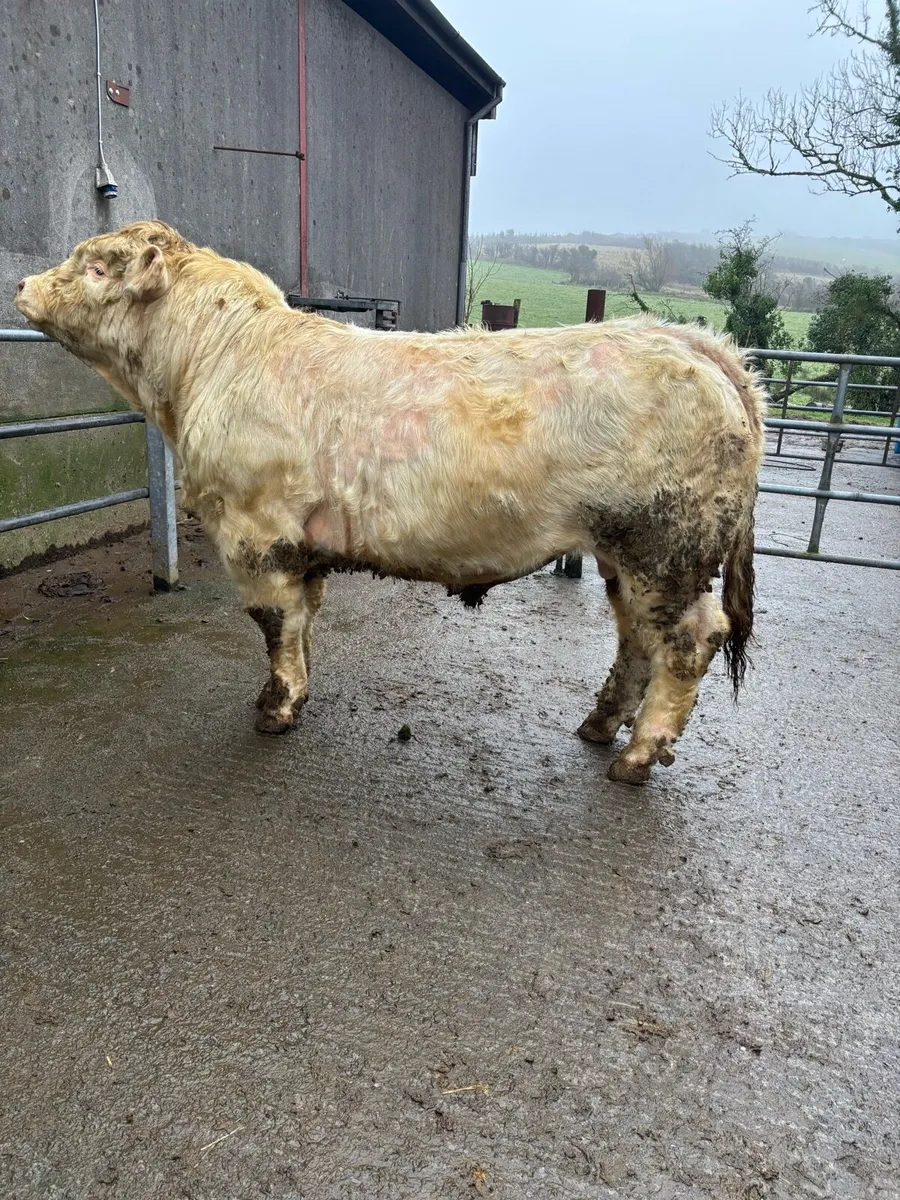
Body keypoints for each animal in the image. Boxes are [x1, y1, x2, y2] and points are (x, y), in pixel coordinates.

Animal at [16, 221, 765, 784]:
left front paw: (275, 708)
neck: (206, 365)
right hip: (623, 552)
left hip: (664, 546)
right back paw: (600, 725)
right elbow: (303, 619)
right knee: (636, 638)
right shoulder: (300, 543)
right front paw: (298, 690)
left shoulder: (254, 531)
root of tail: (691, 341)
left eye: (95, 267)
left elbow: (272, 621)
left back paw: (638, 755)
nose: (21, 284)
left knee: (688, 640)